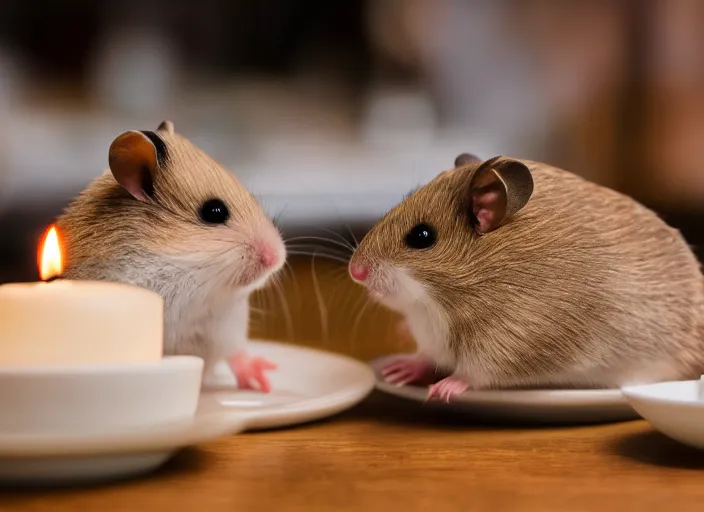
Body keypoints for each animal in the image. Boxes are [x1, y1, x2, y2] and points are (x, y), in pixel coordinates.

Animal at [350, 152, 704, 400]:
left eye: (422, 236)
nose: (355, 272)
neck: (434, 305)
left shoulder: (513, 341)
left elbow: (473, 374)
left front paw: (444, 388)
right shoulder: (432, 339)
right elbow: (425, 356)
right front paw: (399, 368)